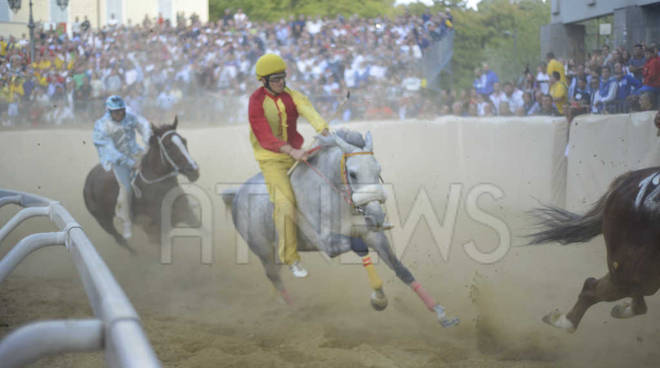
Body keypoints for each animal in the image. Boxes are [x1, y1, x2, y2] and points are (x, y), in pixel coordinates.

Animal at [84, 118, 200, 253]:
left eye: (184, 141)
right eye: (168, 146)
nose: (193, 170)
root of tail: (89, 178)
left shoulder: (187, 214)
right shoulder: (156, 230)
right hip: (103, 220)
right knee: (119, 239)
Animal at [222, 131, 458, 326]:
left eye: (378, 170)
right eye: (352, 173)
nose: (377, 215)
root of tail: (237, 194)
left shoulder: (372, 234)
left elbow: (401, 269)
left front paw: (440, 313)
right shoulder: (328, 243)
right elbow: (359, 246)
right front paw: (379, 299)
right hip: (261, 249)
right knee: (274, 277)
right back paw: (294, 310)